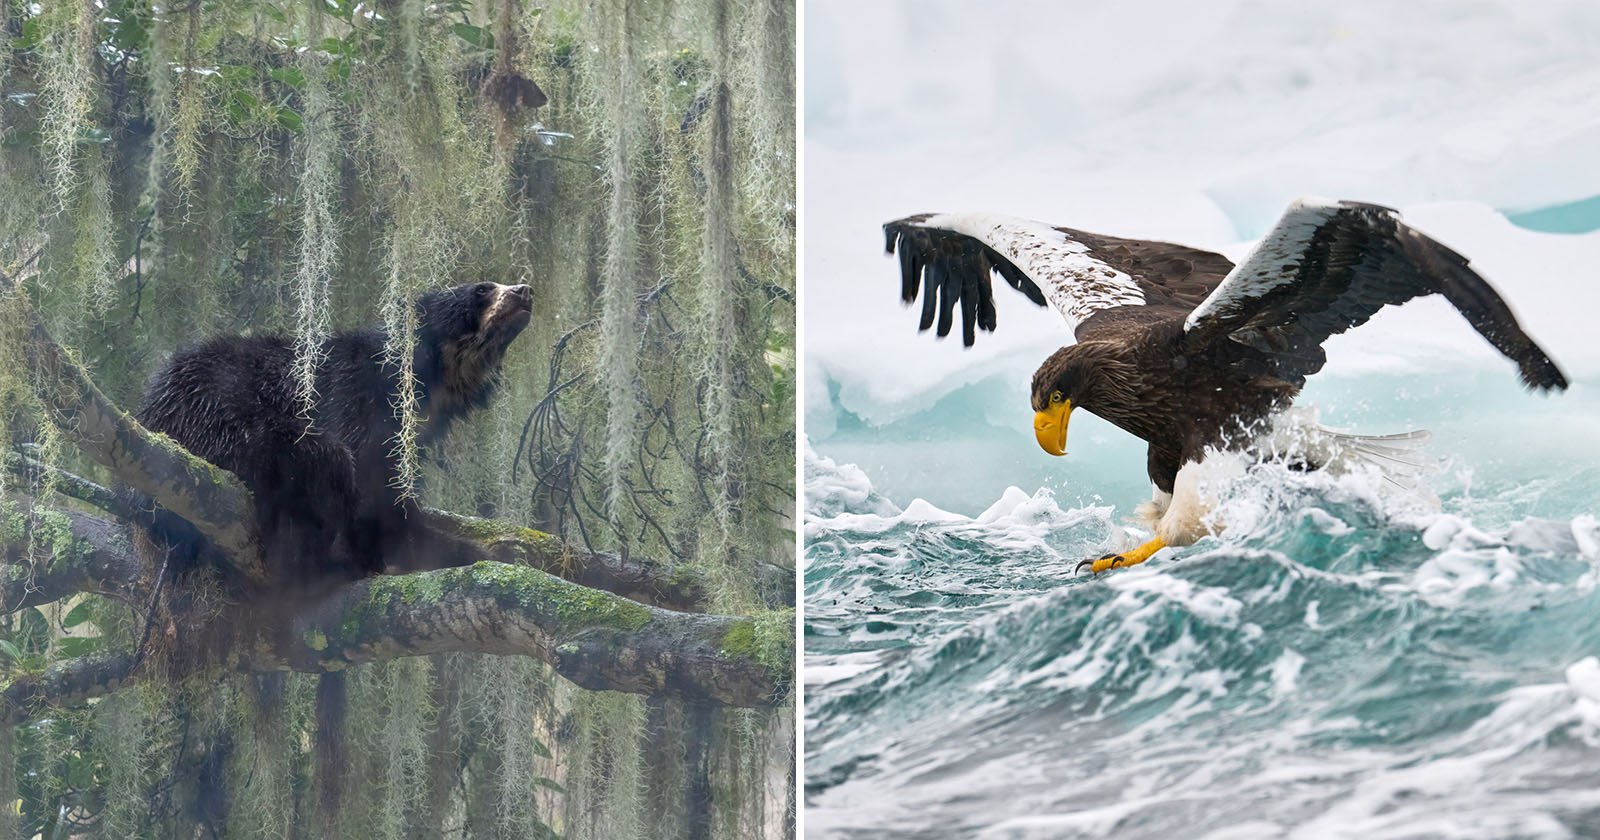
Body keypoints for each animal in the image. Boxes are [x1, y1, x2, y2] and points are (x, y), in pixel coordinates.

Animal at [132, 281, 531, 582]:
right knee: (322, 458)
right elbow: (371, 489)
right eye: (482, 289)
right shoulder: (356, 397)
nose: (524, 291)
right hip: (217, 414)